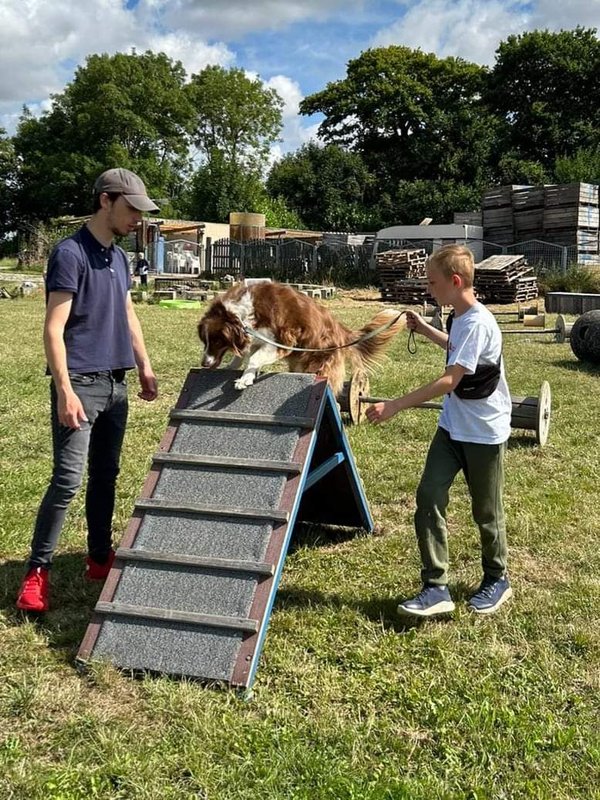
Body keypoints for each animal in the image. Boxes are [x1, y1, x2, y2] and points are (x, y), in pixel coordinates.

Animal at [196, 282, 404, 394]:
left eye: (216, 341)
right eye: (205, 341)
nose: (204, 364)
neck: (239, 314)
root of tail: (340, 330)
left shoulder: (281, 340)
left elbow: (254, 358)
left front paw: (243, 380)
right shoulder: (254, 339)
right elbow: (243, 356)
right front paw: (234, 369)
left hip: (317, 362)